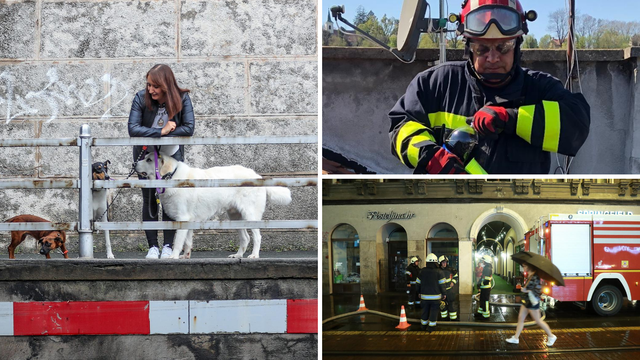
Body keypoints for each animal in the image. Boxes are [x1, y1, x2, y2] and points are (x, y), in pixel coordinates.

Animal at [138, 153, 296, 258]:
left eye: (149, 159)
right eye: (145, 157)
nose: (134, 164)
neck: (171, 176)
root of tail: (259, 177)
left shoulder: (182, 219)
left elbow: (178, 242)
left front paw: (173, 257)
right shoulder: (189, 220)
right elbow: (188, 242)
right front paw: (185, 257)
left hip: (250, 215)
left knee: (257, 237)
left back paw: (254, 255)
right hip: (236, 217)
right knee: (245, 238)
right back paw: (237, 256)